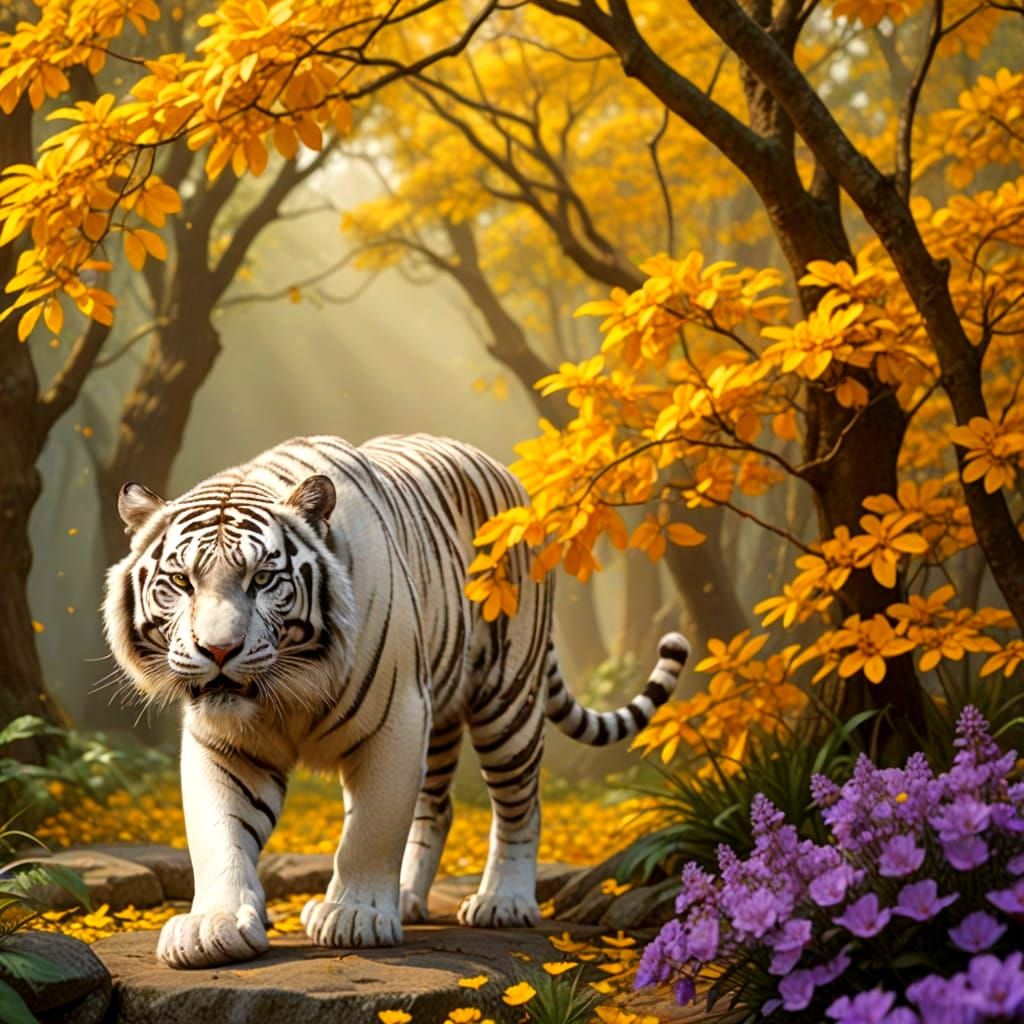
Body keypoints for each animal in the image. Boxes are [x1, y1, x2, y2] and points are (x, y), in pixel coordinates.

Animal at [103, 433, 690, 969]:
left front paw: (355, 915)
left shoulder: (396, 720)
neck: (289, 688)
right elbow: (220, 834)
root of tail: (503, 471)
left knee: (521, 804)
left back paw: (503, 901)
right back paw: (407, 898)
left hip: (507, 704)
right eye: (181, 581)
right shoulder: (226, 745)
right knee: (436, 807)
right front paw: (213, 925)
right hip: (440, 713)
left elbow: (372, 826)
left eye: (263, 579)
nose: (219, 649)